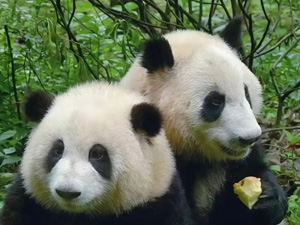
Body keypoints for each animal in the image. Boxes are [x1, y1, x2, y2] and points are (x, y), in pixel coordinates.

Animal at [0, 82, 193, 225]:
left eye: (97, 154)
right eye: (57, 150)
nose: (67, 192)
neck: (82, 214)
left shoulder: (159, 203)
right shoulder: (30, 200)